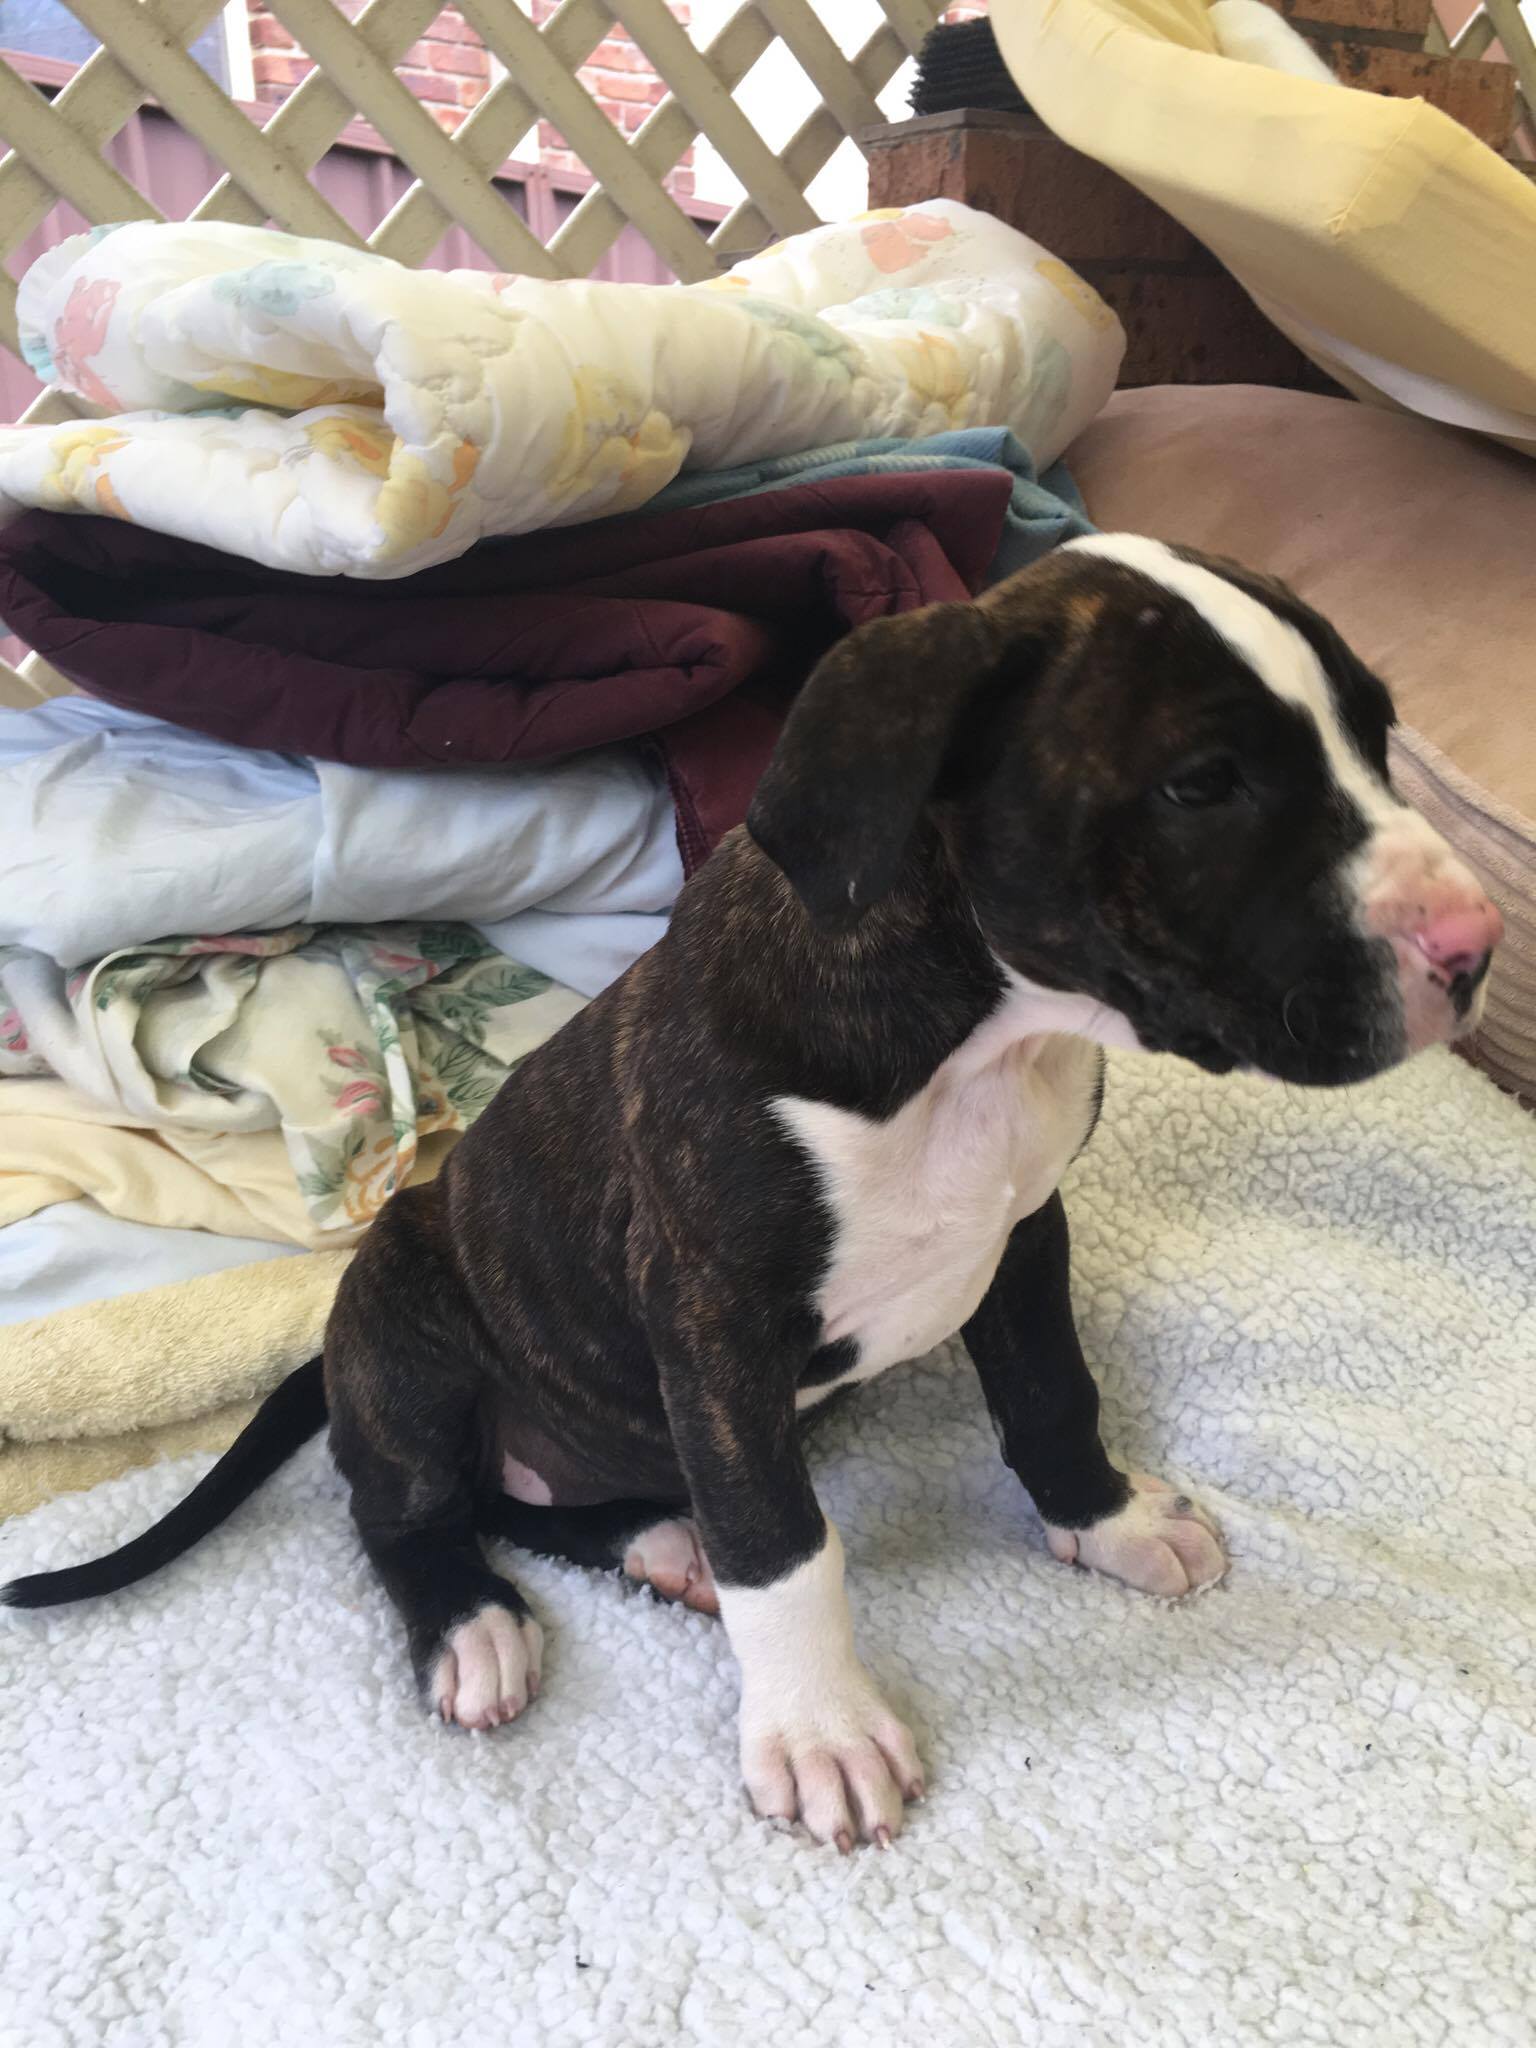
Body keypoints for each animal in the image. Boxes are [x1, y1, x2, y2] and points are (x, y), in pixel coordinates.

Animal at [6, 534, 1502, 1854]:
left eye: (1379, 734)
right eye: (1202, 785)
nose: (1478, 947)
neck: (974, 1039)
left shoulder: (1024, 1235)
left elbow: (1052, 1395)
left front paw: (1109, 1523)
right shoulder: (714, 1316)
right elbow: (783, 1539)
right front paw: (821, 1731)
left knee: (534, 1500)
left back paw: (658, 1543)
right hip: (405, 1326)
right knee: (408, 1508)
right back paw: (473, 1624)